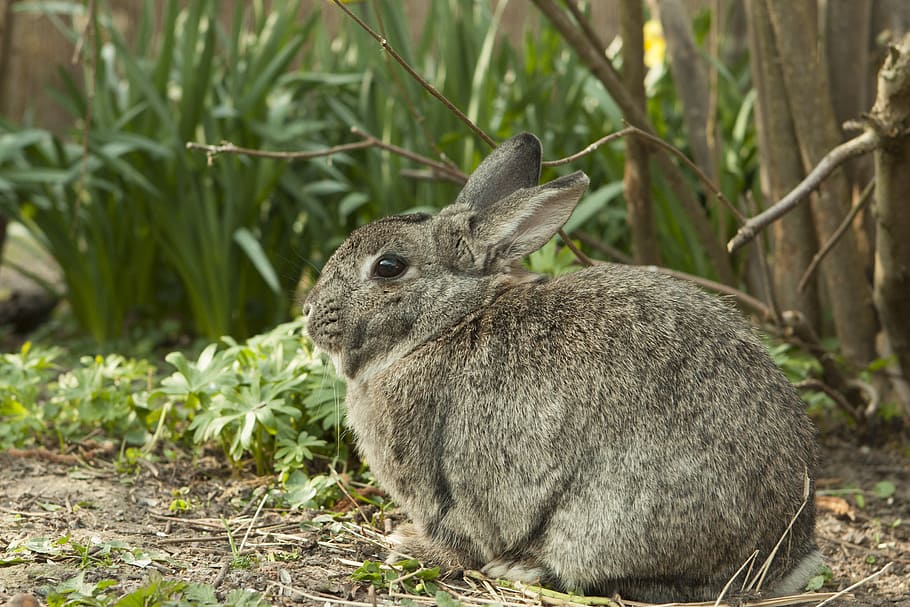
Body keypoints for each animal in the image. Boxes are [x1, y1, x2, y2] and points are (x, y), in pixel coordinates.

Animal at [303, 132, 821, 602]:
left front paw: (409, 547)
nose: (308, 311)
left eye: (388, 266)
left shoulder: (440, 485)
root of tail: (785, 556)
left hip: (609, 520)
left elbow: (458, 538)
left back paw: (523, 568)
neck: (449, 321)